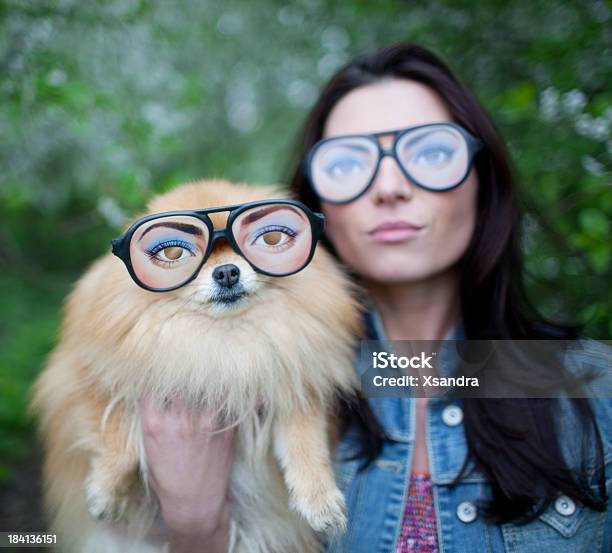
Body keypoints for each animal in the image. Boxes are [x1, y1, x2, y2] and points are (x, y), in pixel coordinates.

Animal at [29, 179, 364, 548]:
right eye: (173, 253)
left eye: (271, 238)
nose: (228, 272)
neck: (220, 339)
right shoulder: (89, 375)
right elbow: (114, 431)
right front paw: (105, 491)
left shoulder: (290, 385)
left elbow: (305, 442)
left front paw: (320, 500)